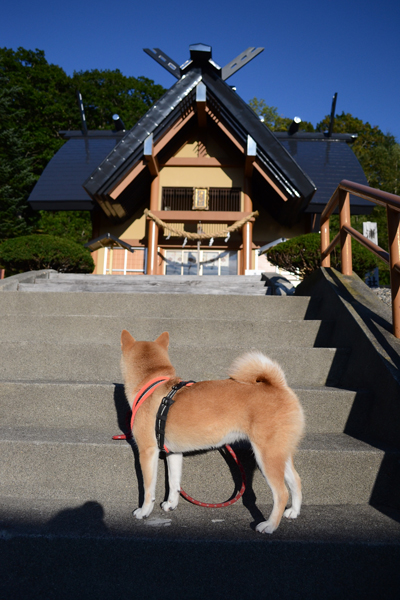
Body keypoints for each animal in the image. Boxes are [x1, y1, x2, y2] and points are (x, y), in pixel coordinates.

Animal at [120, 328, 304, 536]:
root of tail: (279, 386)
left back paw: (270, 525)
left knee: (282, 493)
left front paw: (144, 511)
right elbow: (174, 483)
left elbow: (148, 489)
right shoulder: (173, 453)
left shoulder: (147, 451)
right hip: (280, 452)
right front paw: (171, 504)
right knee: (296, 481)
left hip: (266, 456)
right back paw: (294, 511)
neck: (151, 385)